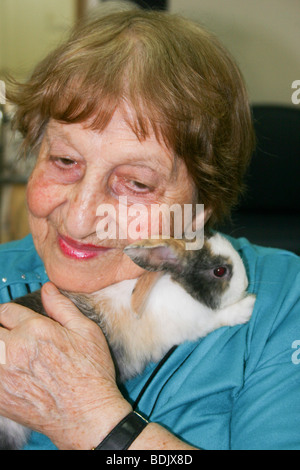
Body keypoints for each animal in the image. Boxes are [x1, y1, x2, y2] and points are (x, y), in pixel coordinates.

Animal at [0, 233, 255, 450]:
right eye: (220, 271)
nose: (245, 285)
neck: (180, 289)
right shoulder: (195, 324)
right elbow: (219, 318)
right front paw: (247, 307)